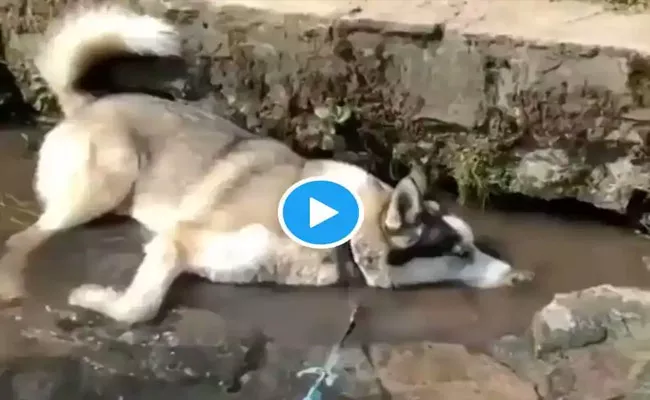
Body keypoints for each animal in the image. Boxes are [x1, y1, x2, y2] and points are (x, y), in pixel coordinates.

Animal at [0, 3, 532, 324]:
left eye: (472, 245)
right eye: (458, 252)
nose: (519, 276)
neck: (347, 237)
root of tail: (86, 104)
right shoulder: (179, 240)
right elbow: (141, 307)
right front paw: (94, 299)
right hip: (101, 186)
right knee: (22, 240)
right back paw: (12, 286)